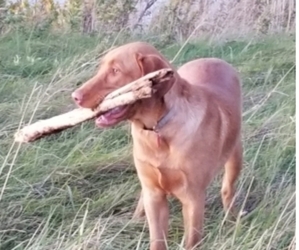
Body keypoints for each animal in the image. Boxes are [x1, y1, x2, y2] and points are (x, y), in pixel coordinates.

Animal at [72, 42, 244, 249]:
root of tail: (214, 59)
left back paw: (233, 218)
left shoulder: (193, 199)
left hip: (235, 156)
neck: (156, 130)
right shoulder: (154, 195)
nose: (75, 96)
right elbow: (157, 239)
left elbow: (191, 241)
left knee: (227, 190)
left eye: (116, 71)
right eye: (100, 68)